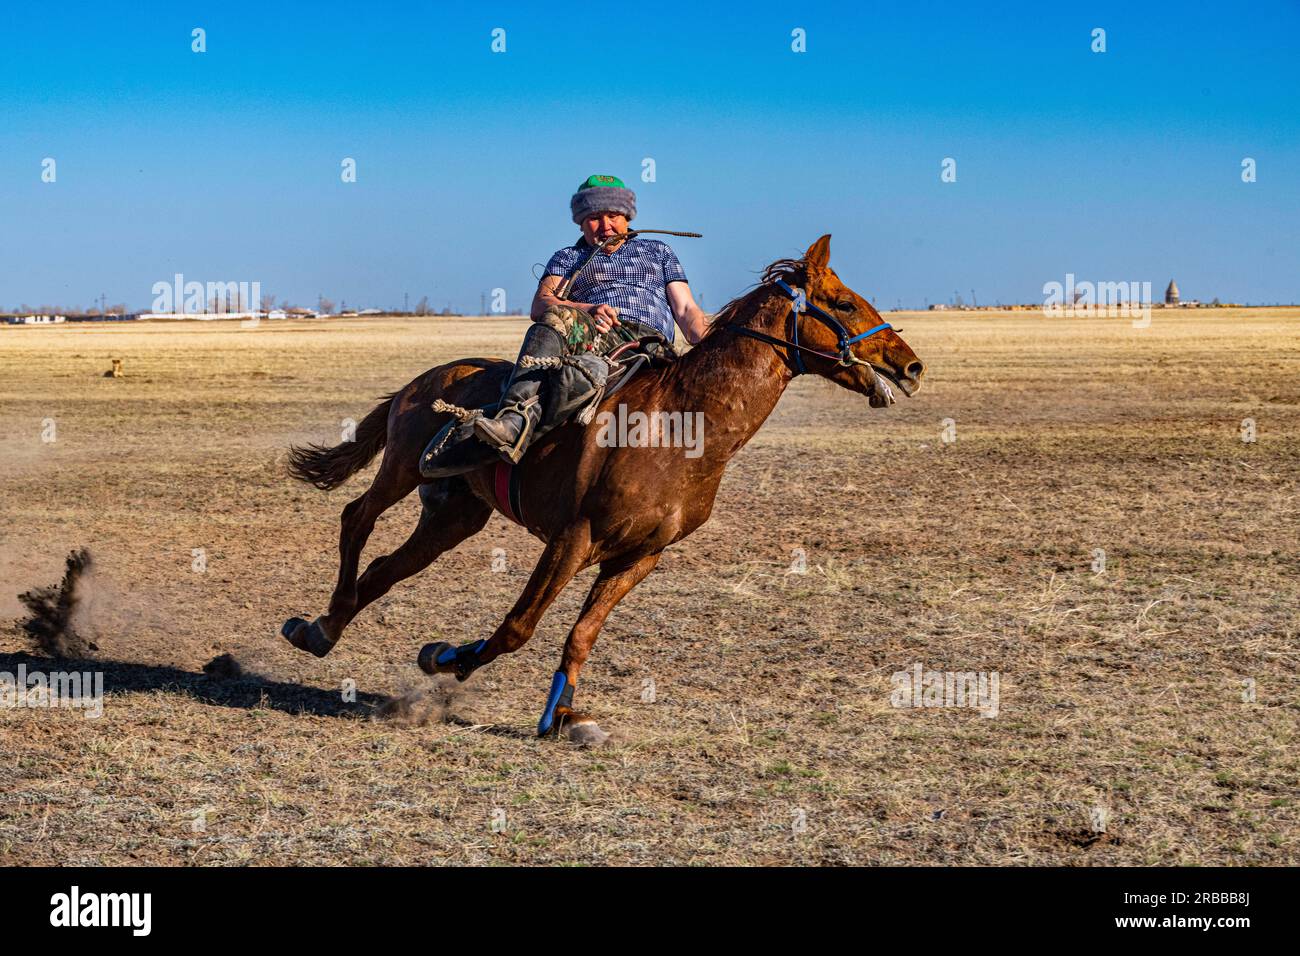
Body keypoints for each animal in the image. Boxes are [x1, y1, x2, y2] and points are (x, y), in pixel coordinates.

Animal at [281, 235, 925, 742]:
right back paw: (324, 620)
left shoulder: (638, 557)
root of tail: (427, 378)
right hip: (404, 468)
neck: (683, 426)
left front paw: (563, 717)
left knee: (386, 568)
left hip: (455, 516)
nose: (911, 365)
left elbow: (582, 634)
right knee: (356, 518)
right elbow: (519, 626)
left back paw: (321, 631)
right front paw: (447, 658)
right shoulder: (572, 539)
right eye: (843, 302)